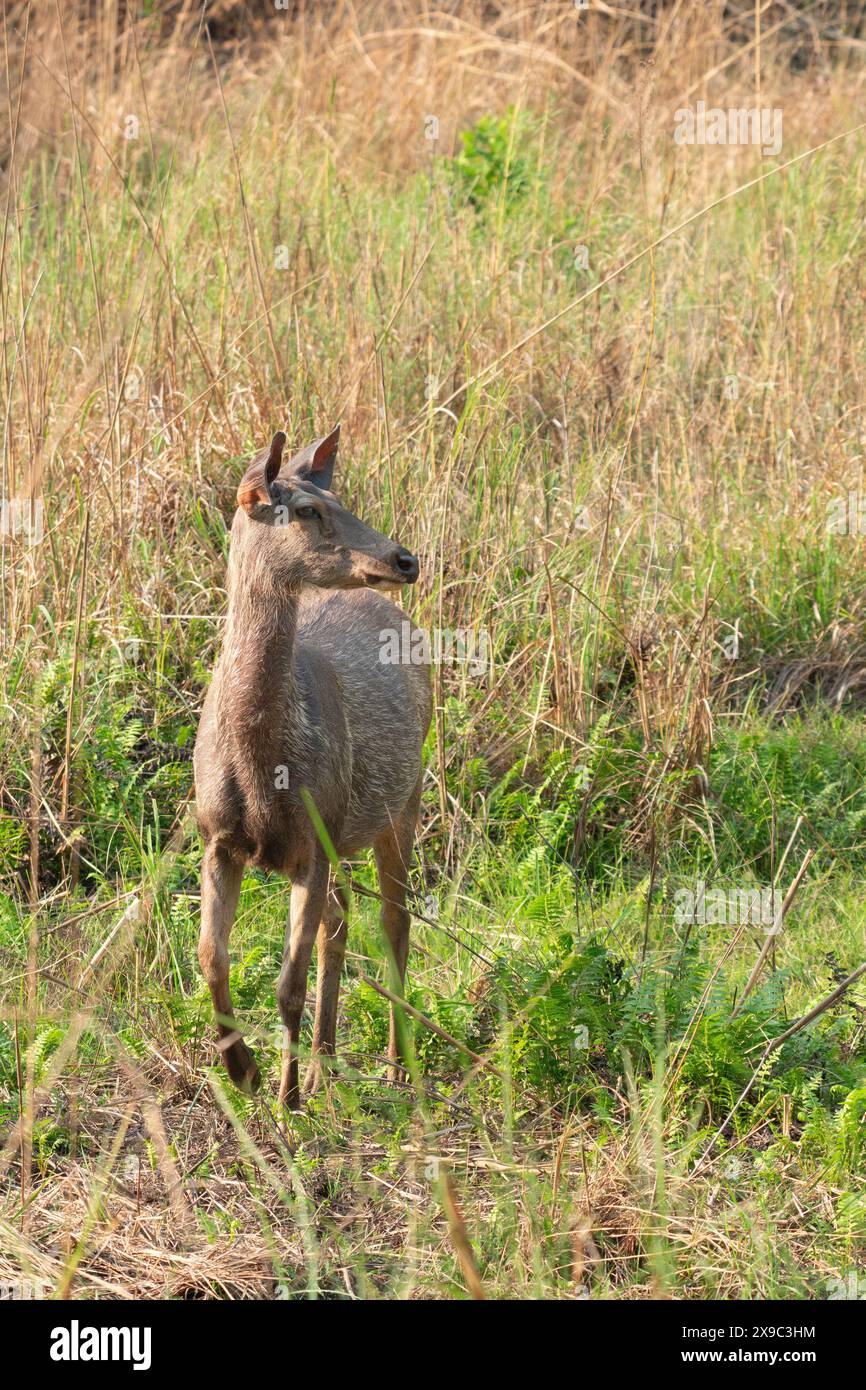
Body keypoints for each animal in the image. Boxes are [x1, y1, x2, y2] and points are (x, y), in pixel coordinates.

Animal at [193, 422, 430, 1106]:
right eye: (305, 509)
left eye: (339, 499)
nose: (404, 560)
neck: (262, 767)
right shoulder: (217, 837)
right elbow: (211, 959)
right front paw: (242, 1071)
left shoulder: (314, 839)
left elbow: (286, 983)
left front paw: (285, 1096)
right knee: (343, 918)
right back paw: (327, 1061)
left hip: (404, 800)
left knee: (394, 919)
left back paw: (394, 1066)